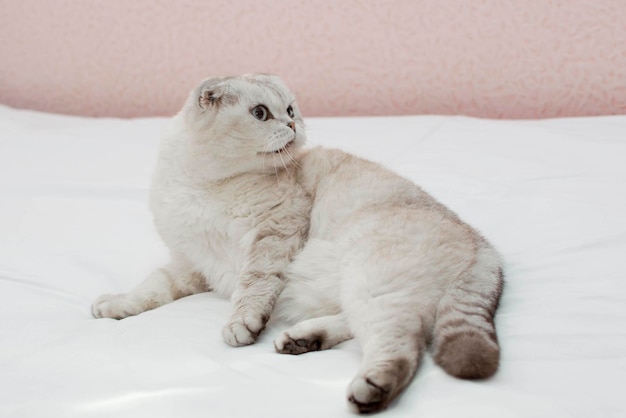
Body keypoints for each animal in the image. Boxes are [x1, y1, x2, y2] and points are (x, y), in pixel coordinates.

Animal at [92, 73, 502, 414]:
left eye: (289, 110)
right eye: (261, 114)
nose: (292, 124)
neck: (201, 186)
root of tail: (483, 243)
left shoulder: (276, 230)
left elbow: (253, 287)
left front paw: (242, 325)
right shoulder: (192, 264)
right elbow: (150, 289)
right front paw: (113, 305)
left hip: (371, 277)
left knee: (404, 344)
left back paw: (371, 388)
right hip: (370, 290)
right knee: (371, 326)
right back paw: (302, 340)